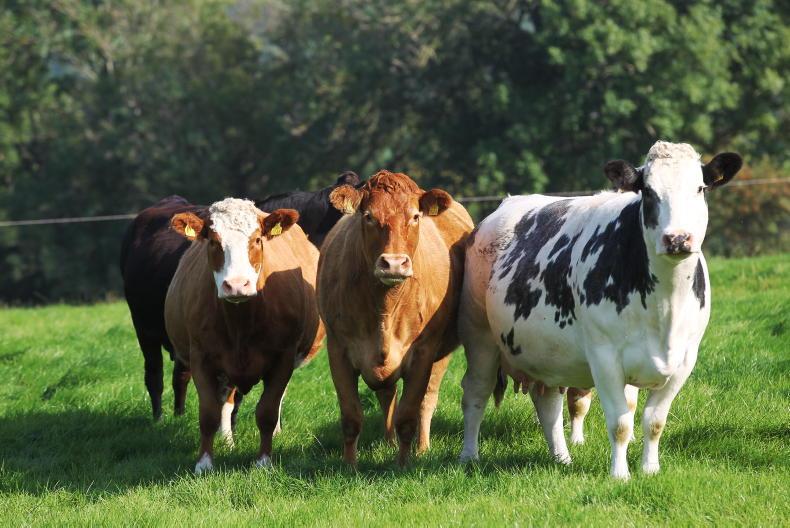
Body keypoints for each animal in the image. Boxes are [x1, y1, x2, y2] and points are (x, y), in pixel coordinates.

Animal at [164, 198, 325, 473]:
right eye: (213, 241)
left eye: (257, 239)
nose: (237, 285)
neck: (240, 323)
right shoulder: (200, 357)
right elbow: (208, 412)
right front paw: (204, 463)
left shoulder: (283, 357)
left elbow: (268, 410)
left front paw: (263, 461)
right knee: (226, 401)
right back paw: (227, 442)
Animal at [317, 170, 474, 466]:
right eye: (369, 216)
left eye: (415, 216)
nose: (393, 263)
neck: (385, 308)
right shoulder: (338, 349)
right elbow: (351, 417)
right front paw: (349, 466)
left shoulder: (424, 351)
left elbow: (408, 415)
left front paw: (403, 464)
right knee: (386, 394)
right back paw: (388, 442)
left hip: (441, 355)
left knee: (427, 400)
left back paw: (422, 448)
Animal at [458, 141, 742, 479]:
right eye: (648, 192)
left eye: (700, 188)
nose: (677, 238)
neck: (665, 307)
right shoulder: (604, 357)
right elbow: (620, 423)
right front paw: (620, 475)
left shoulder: (684, 360)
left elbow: (654, 422)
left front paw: (650, 469)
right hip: (479, 334)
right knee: (476, 391)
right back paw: (469, 455)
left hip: (548, 351)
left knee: (548, 403)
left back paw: (561, 458)